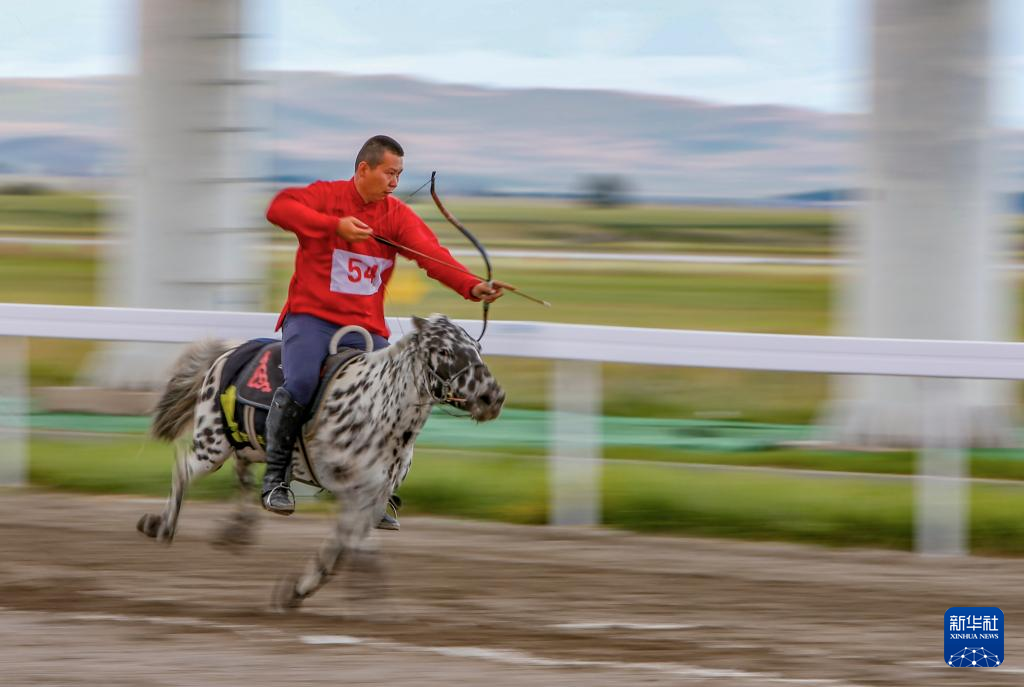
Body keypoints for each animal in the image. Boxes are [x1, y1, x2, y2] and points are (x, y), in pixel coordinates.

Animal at [138, 314, 505, 610]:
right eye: (443, 351)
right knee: (183, 469)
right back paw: (161, 526)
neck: (376, 411)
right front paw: (364, 594)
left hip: (245, 443)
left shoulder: (372, 497)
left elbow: (342, 546)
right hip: (211, 445)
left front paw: (298, 591)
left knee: (243, 475)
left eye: (477, 347)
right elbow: (355, 545)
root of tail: (230, 351)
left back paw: (237, 530)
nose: (493, 397)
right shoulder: (349, 490)